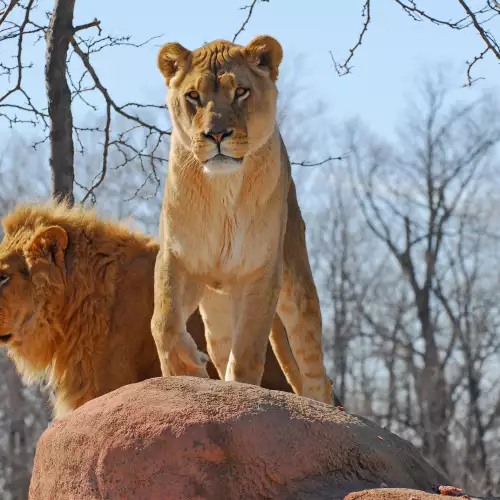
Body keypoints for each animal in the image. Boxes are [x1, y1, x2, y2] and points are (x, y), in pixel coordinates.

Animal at [152, 34, 332, 402]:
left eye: (241, 92)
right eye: (194, 96)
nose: (216, 134)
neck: (222, 188)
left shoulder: (261, 272)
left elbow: (248, 349)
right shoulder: (177, 259)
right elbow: (163, 320)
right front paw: (184, 367)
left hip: (297, 291)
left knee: (315, 372)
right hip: (217, 310)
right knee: (221, 350)